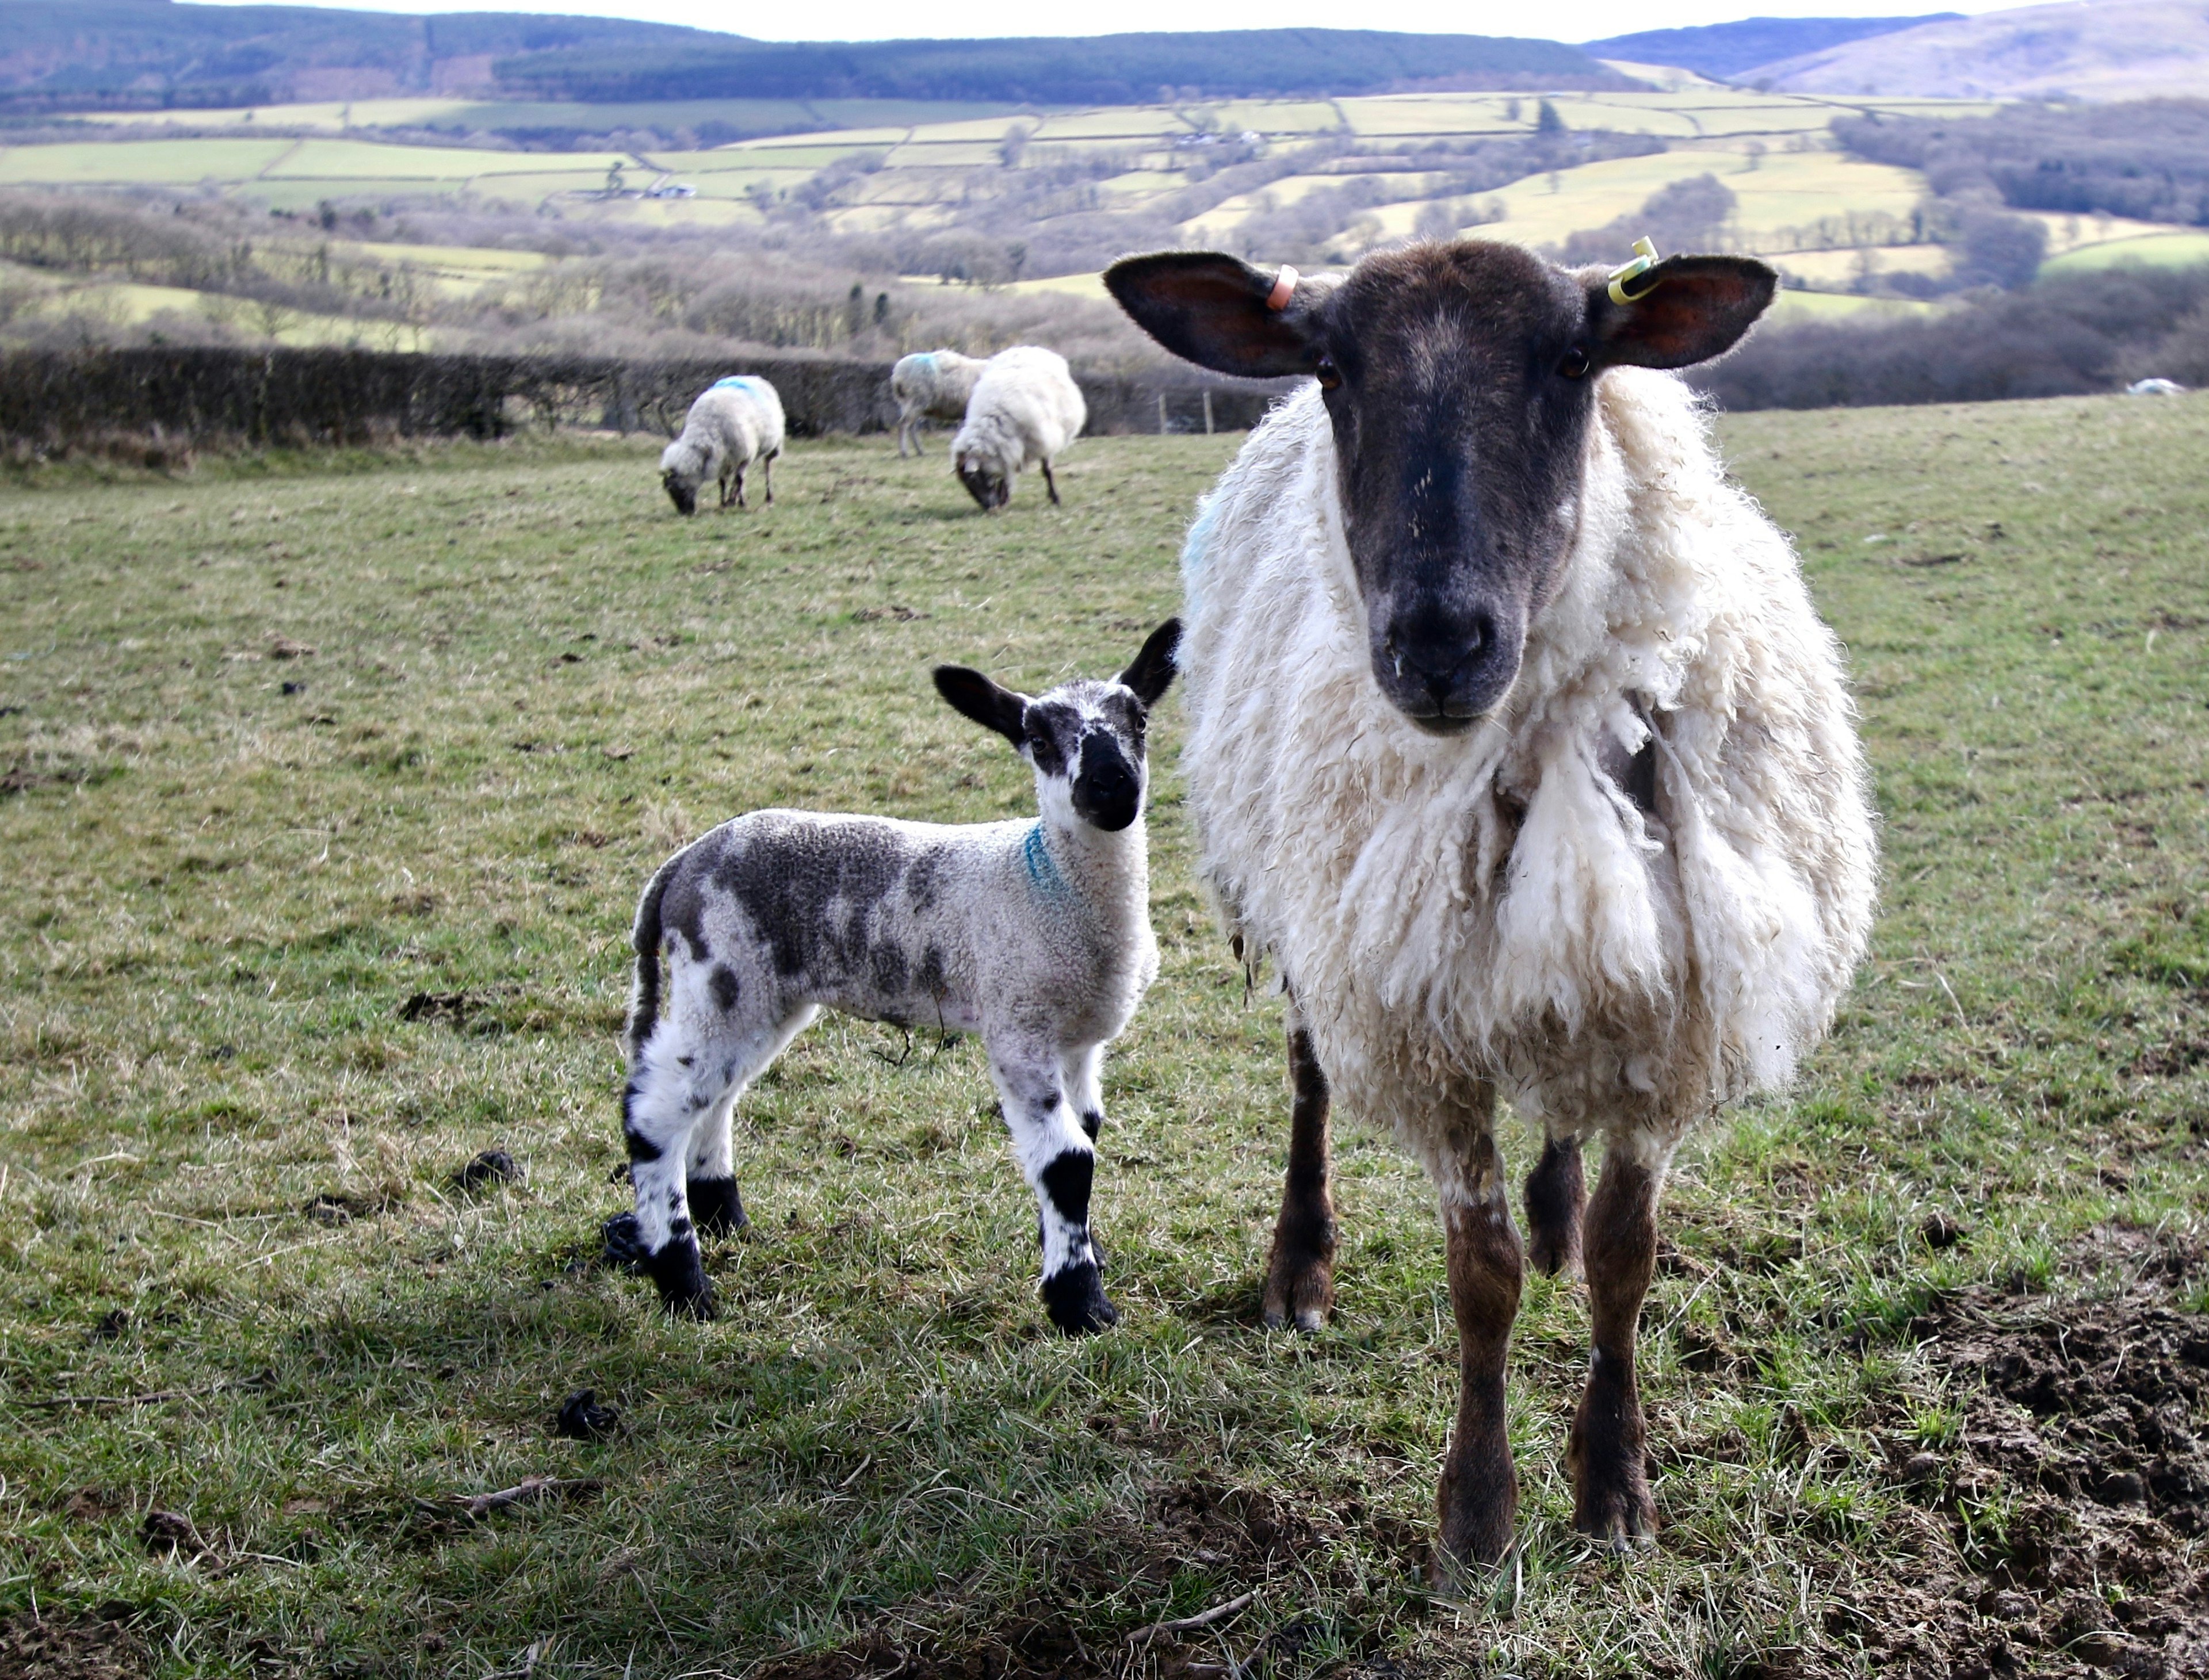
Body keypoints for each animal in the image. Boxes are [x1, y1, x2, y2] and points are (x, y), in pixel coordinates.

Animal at [614, 618, 1184, 1333]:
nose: (1111, 785)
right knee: (657, 1113)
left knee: (714, 1097)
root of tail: (682, 864)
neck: (1047, 883)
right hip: (721, 973)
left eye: (1140, 719)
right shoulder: (1018, 1024)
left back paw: (724, 1217)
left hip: (758, 995)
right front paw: (1080, 1302)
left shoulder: (1078, 1038)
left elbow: (1087, 1132)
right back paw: (683, 1282)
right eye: (1039, 739)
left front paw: (1082, 1252)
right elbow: (1067, 1160)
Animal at [653, 373, 786, 512]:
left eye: (681, 488)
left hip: (773, 446)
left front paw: (741, 503)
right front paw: (724, 503)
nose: (686, 513)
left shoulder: (744, 456)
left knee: (766, 468)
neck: (707, 429)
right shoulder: (721, 459)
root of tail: (752, 377)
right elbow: (723, 482)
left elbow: (739, 480)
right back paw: (733, 499)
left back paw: (768, 497)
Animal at [888, 346, 985, 454]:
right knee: (904, 425)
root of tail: (897, 374)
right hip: (916, 401)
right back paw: (905, 452)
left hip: (910, 404)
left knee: (912, 427)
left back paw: (920, 451)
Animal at [950, 346, 1087, 512]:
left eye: (974, 480)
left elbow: (1046, 470)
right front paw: (1004, 498)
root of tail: (1025, 348)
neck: (995, 419)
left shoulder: (1042, 442)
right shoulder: (1007, 449)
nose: (989, 508)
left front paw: (1055, 498)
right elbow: (1006, 472)